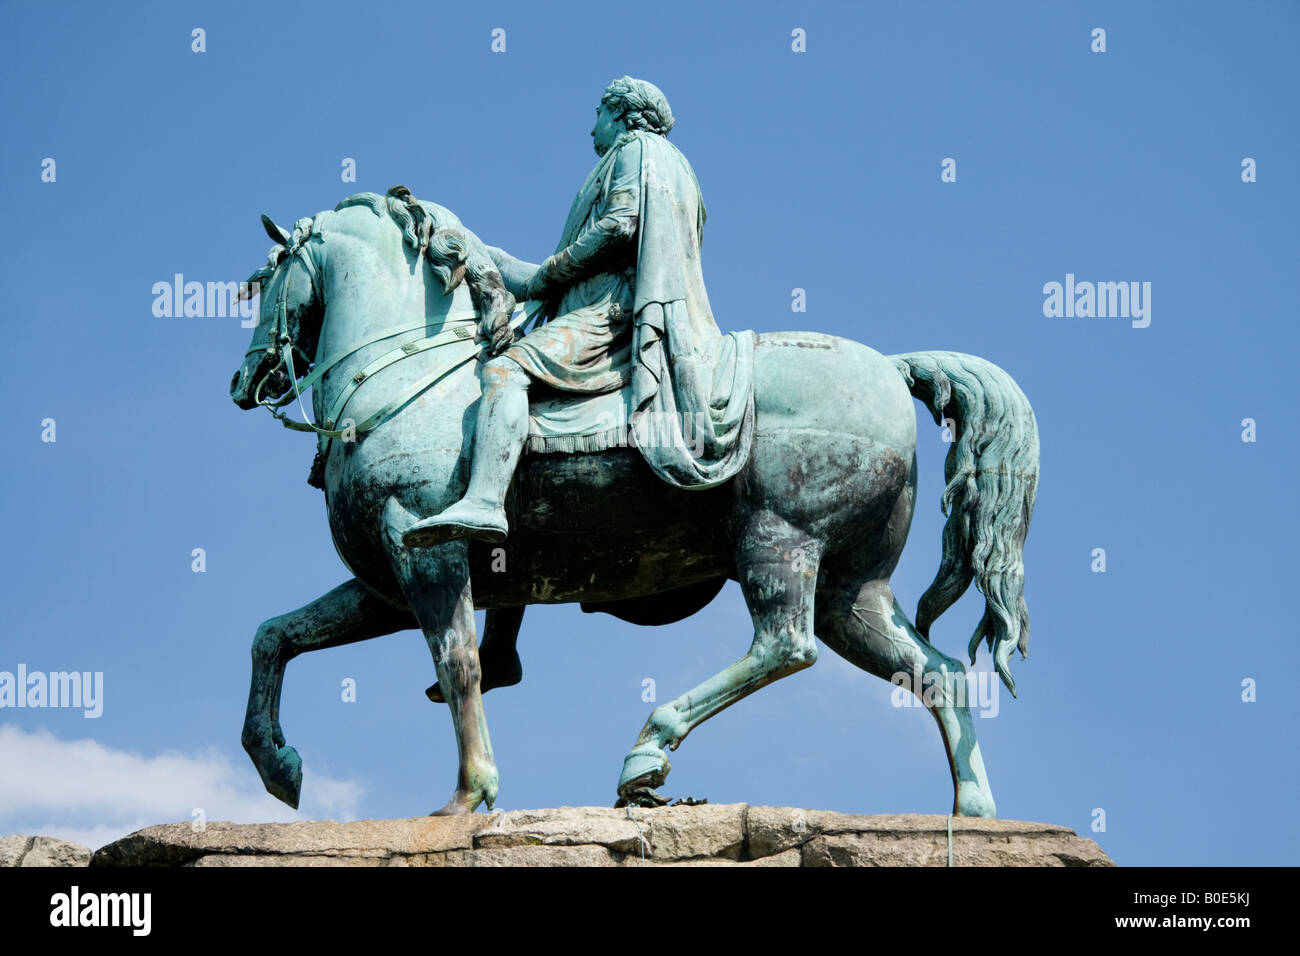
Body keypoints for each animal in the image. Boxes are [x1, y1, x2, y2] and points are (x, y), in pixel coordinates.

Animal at [231, 191, 1034, 816]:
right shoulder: (385, 585)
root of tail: (893, 371)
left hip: (780, 541)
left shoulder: (426, 556)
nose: (246, 379)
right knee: (934, 672)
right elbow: (275, 636)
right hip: (852, 585)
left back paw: (648, 750)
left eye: (262, 281)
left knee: (785, 645)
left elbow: (459, 665)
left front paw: (468, 795)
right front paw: (277, 766)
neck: (410, 379)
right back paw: (974, 814)